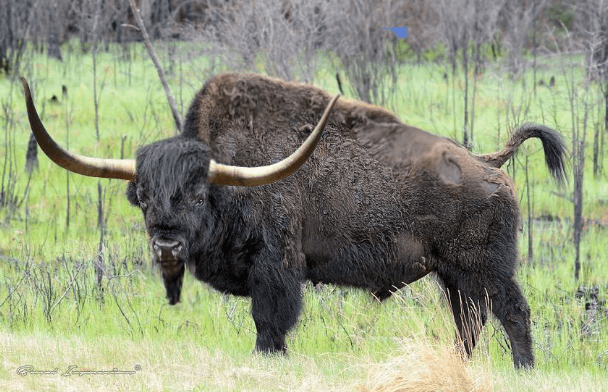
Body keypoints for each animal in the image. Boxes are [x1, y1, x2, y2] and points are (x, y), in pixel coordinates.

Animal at [22, 72, 564, 368]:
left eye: (196, 195)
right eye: (143, 197)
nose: (167, 247)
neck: (228, 174)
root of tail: (488, 164)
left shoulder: (277, 268)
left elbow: (270, 321)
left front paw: (268, 355)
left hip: (486, 270)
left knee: (513, 313)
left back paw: (523, 369)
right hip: (454, 277)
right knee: (470, 323)